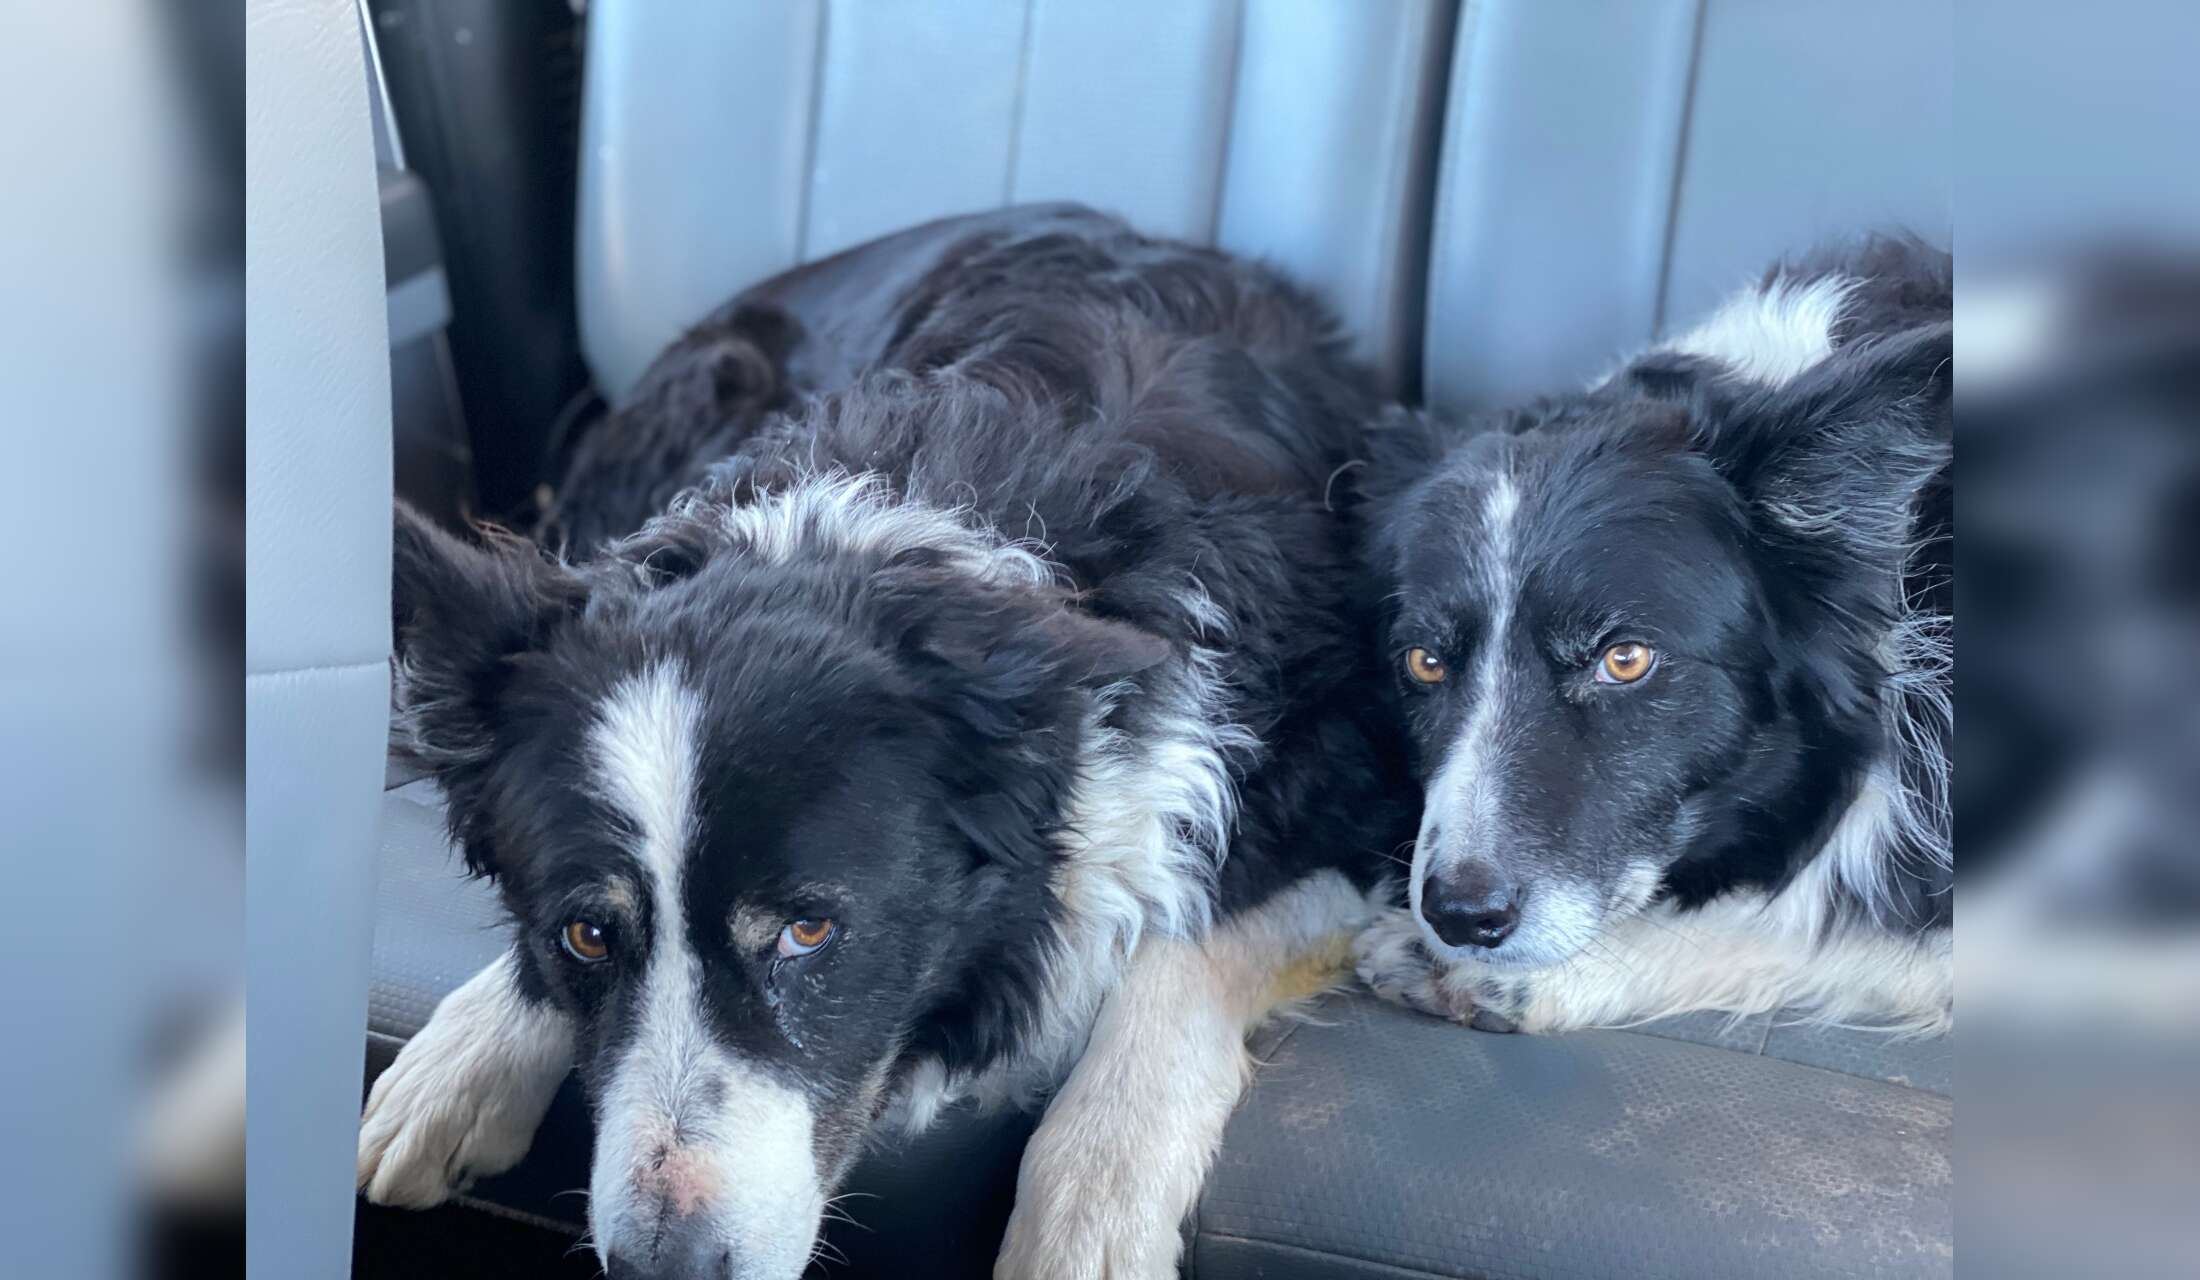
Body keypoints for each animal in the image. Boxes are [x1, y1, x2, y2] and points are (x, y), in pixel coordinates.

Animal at [355, 204, 1415, 1279]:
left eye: (810, 932)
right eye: (585, 936)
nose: (664, 1269)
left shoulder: (1362, 792)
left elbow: (1179, 954)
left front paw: (1087, 1221)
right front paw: (462, 1057)